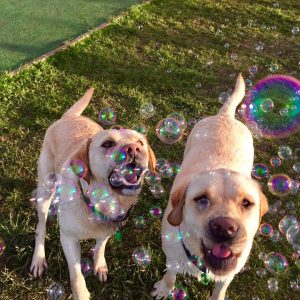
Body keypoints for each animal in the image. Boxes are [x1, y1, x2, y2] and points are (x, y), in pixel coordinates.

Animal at [29, 88, 157, 298]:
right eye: (107, 144)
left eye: (140, 142)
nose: (134, 148)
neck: (101, 201)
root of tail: (69, 117)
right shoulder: (68, 238)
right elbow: (76, 274)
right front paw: (81, 293)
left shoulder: (107, 231)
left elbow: (99, 247)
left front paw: (99, 265)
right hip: (45, 188)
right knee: (41, 226)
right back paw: (38, 258)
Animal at [152, 74, 268, 300]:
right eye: (202, 199)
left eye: (247, 203)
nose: (225, 228)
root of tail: (225, 116)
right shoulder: (171, 254)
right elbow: (170, 274)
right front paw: (165, 288)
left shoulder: (230, 272)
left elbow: (220, 289)